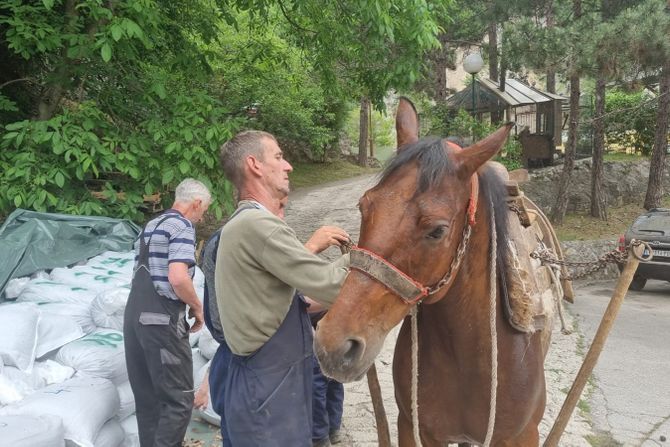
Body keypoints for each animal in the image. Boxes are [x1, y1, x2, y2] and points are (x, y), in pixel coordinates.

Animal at [318, 99, 560, 447]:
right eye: (364, 206)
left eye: (437, 230)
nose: (333, 345)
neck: (467, 357)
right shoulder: (413, 428)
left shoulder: (522, 436)